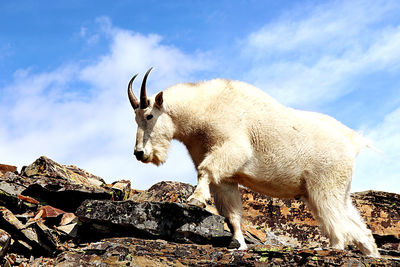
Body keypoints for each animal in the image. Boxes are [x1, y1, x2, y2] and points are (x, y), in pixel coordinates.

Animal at [126, 68, 380, 258]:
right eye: (135, 118)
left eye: (149, 115)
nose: (140, 153)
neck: (202, 113)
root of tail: (352, 144)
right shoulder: (227, 178)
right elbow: (232, 213)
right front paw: (237, 244)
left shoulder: (233, 148)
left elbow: (205, 171)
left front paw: (196, 199)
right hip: (336, 189)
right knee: (357, 226)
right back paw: (371, 254)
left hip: (325, 184)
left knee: (335, 221)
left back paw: (334, 249)